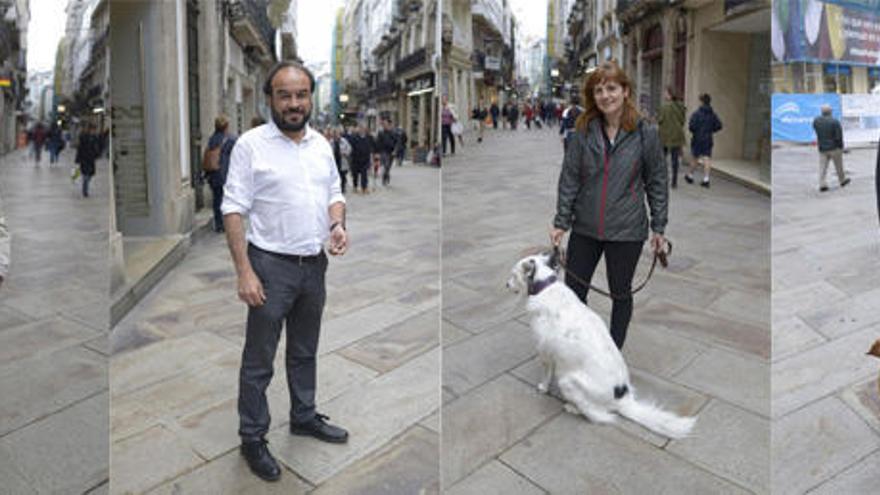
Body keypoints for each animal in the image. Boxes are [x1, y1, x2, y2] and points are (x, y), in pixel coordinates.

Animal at [508, 252, 696, 438]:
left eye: (513, 275)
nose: (506, 284)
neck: (545, 286)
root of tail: (621, 398)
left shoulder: (545, 352)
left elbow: (546, 375)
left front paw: (543, 388)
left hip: (567, 382)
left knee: (597, 415)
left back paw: (572, 407)